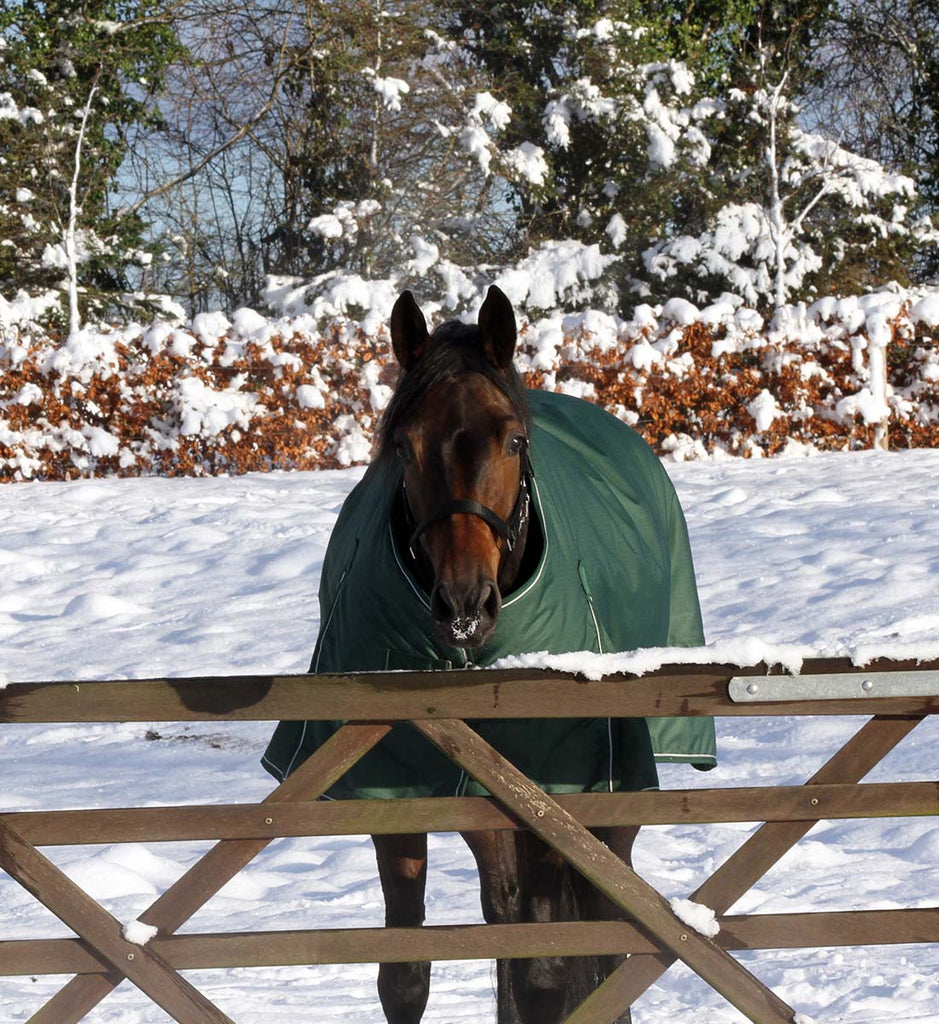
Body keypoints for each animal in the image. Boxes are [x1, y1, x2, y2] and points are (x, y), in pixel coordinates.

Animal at [260, 286, 712, 1024]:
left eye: (514, 440)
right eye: (404, 446)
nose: (463, 603)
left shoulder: (557, 786)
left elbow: (547, 971)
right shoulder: (393, 786)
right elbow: (406, 977)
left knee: (603, 914)